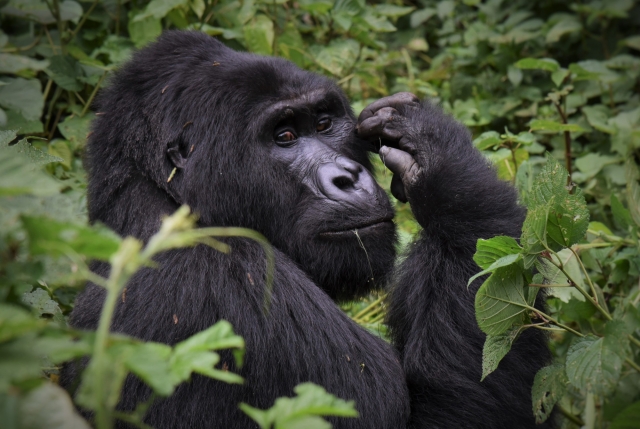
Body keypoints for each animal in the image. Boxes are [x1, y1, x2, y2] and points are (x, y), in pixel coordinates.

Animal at [66, 30, 556, 428]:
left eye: (324, 124)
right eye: (284, 136)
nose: (348, 177)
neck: (164, 204)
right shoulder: (237, 286)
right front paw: (444, 165)